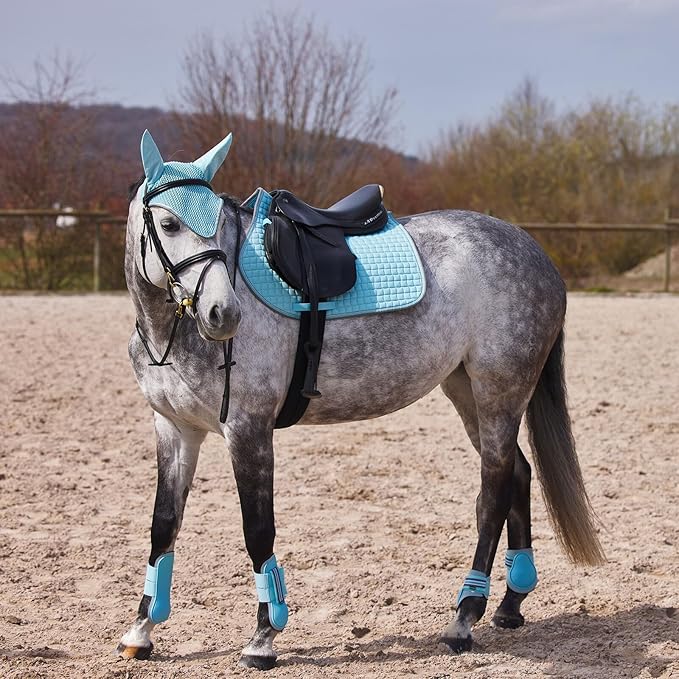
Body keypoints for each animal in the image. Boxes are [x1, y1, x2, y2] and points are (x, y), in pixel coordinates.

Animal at [117, 129, 604, 669]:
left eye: (220, 226)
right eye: (169, 223)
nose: (224, 314)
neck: (172, 332)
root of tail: (533, 251)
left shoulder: (247, 430)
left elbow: (257, 529)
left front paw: (264, 637)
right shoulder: (175, 430)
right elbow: (163, 525)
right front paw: (141, 631)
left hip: (501, 391)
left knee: (494, 490)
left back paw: (464, 617)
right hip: (467, 391)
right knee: (518, 472)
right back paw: (510, 605)